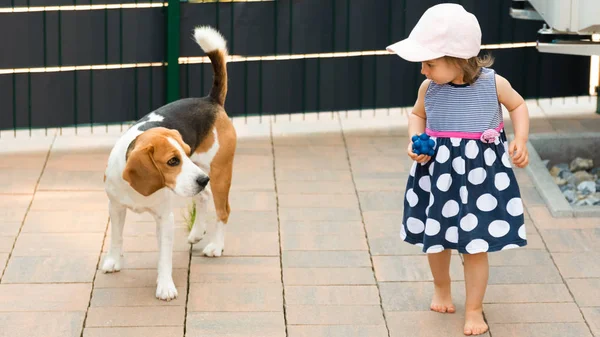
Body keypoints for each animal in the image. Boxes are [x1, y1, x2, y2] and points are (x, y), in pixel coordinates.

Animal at [102, 26, 236, 300]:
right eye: (173, 160)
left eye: (185, 151)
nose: (203, 179)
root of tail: (210, 100)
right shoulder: (116, 207)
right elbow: (116, 237)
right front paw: (113, 260)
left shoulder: (165, 219)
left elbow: (164, 258)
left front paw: (165, 286)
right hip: (197, 178)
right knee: (203, 196)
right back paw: (196, 232)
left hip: (217, 173)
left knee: (222, 210)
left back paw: (216, 246)